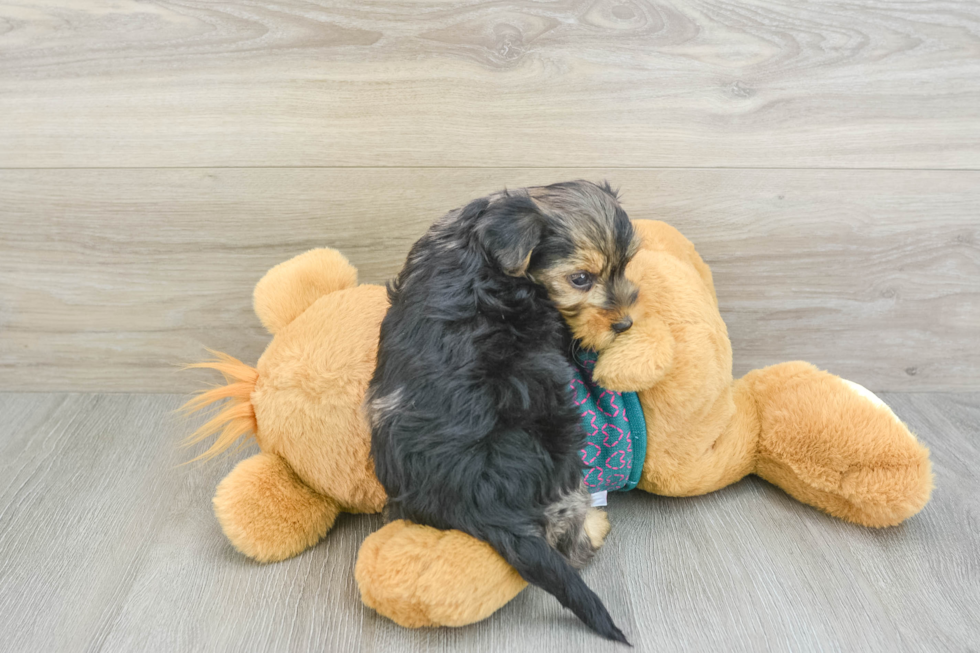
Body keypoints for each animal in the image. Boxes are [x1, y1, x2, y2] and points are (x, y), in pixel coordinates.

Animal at [366, 180, 636, 640]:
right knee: (567, 530)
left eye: (625, 266)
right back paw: (594, 527)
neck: (481, 243)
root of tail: (481, 503)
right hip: (562, 442)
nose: (624, 325)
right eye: (580, 279)